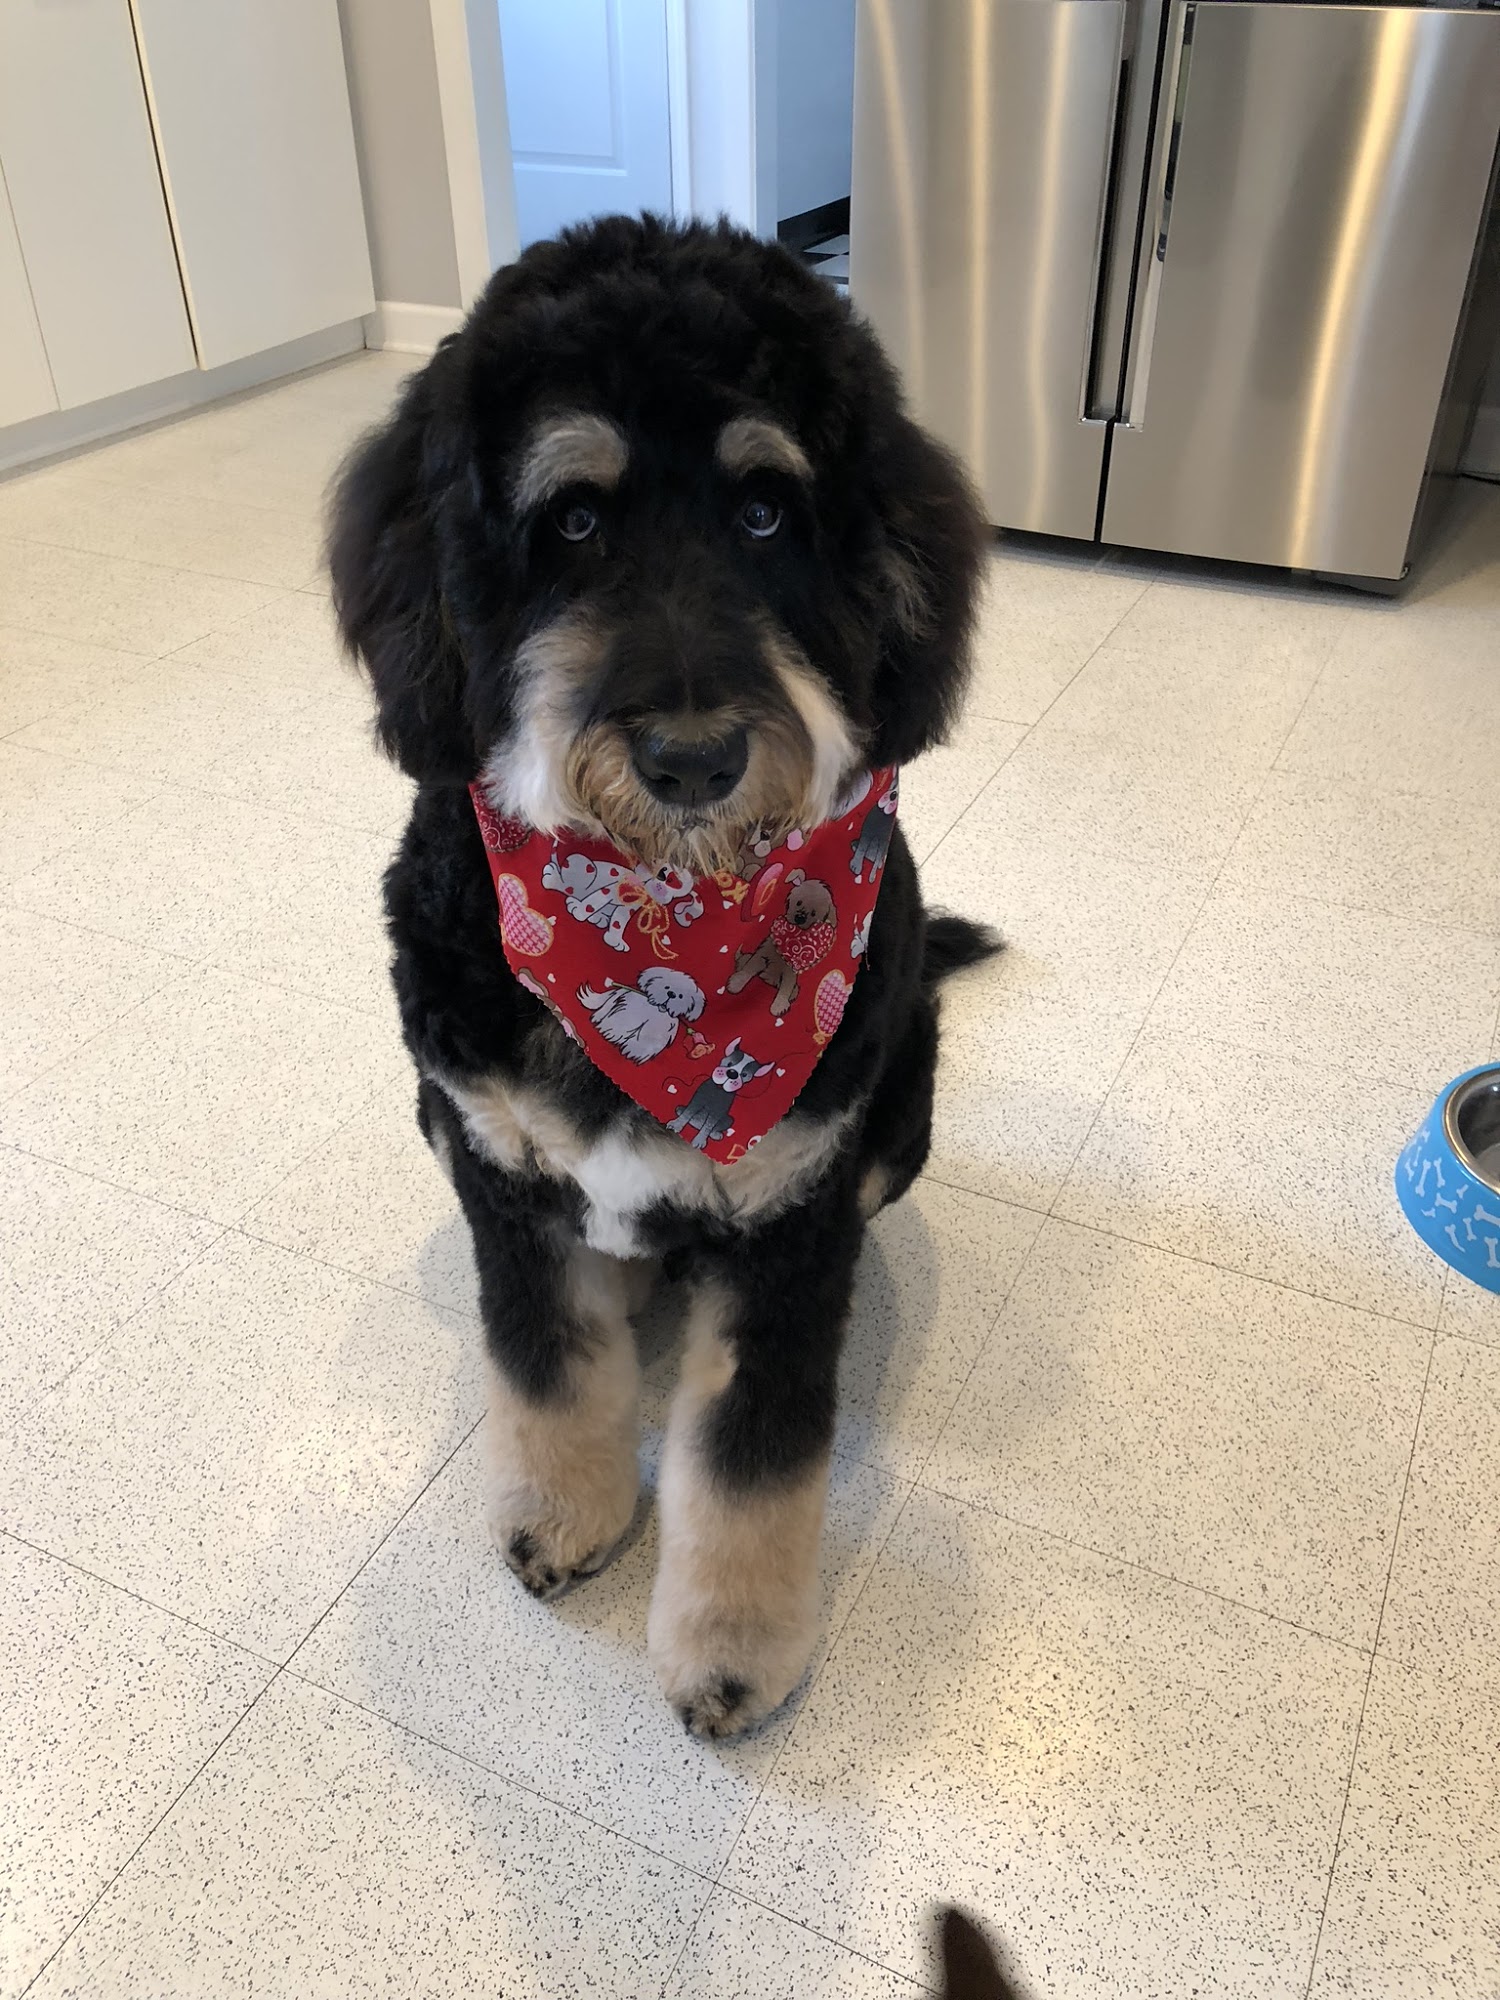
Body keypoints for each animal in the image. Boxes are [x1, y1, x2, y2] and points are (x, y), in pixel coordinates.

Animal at [726, 870, 837, 1015]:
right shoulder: (761, 955)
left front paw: (778, 1006)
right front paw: (736, 983)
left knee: (793, 989)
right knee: (744, 961)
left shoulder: (790, 973)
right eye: (798, 902)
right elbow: (748, 970)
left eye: (814, 913)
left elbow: (785, 989)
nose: (800, 917)